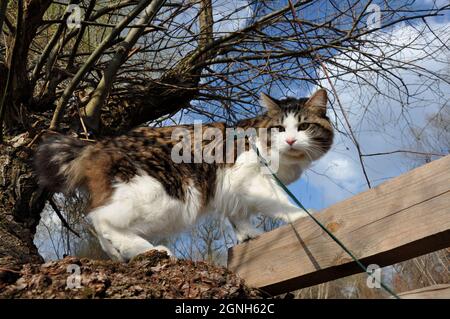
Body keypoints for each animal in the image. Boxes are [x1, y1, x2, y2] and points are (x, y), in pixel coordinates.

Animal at [36, 88, 334, 262]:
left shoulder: (231, 190)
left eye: (303, 126)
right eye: (280, 129)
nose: (292, 141)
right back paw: (151, 250)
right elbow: (282, 203)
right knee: (100, 219)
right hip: (163, 195)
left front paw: (248, 235)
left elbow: (238, 216)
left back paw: (125, 254)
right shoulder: (251, 178)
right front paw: (304, 216)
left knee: (99, 225)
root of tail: (97, 144)